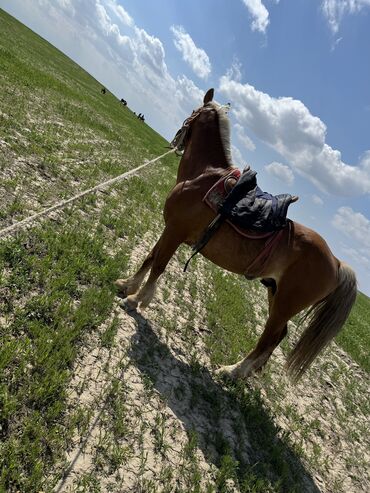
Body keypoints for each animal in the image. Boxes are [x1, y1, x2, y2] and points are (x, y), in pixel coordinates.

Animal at [115, 88, 356, 380]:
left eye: (193, 111)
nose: (176, 140)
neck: (202, 176)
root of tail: (336, 262)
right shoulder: (170, 229)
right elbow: (150, 257)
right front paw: (127, 285)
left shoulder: (175, 231)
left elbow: (159, 264)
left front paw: (136, 300)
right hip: (274, 292)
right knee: (278, 336)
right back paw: (250, 372)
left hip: (284, 304)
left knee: (269, 338)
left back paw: (232, 371)